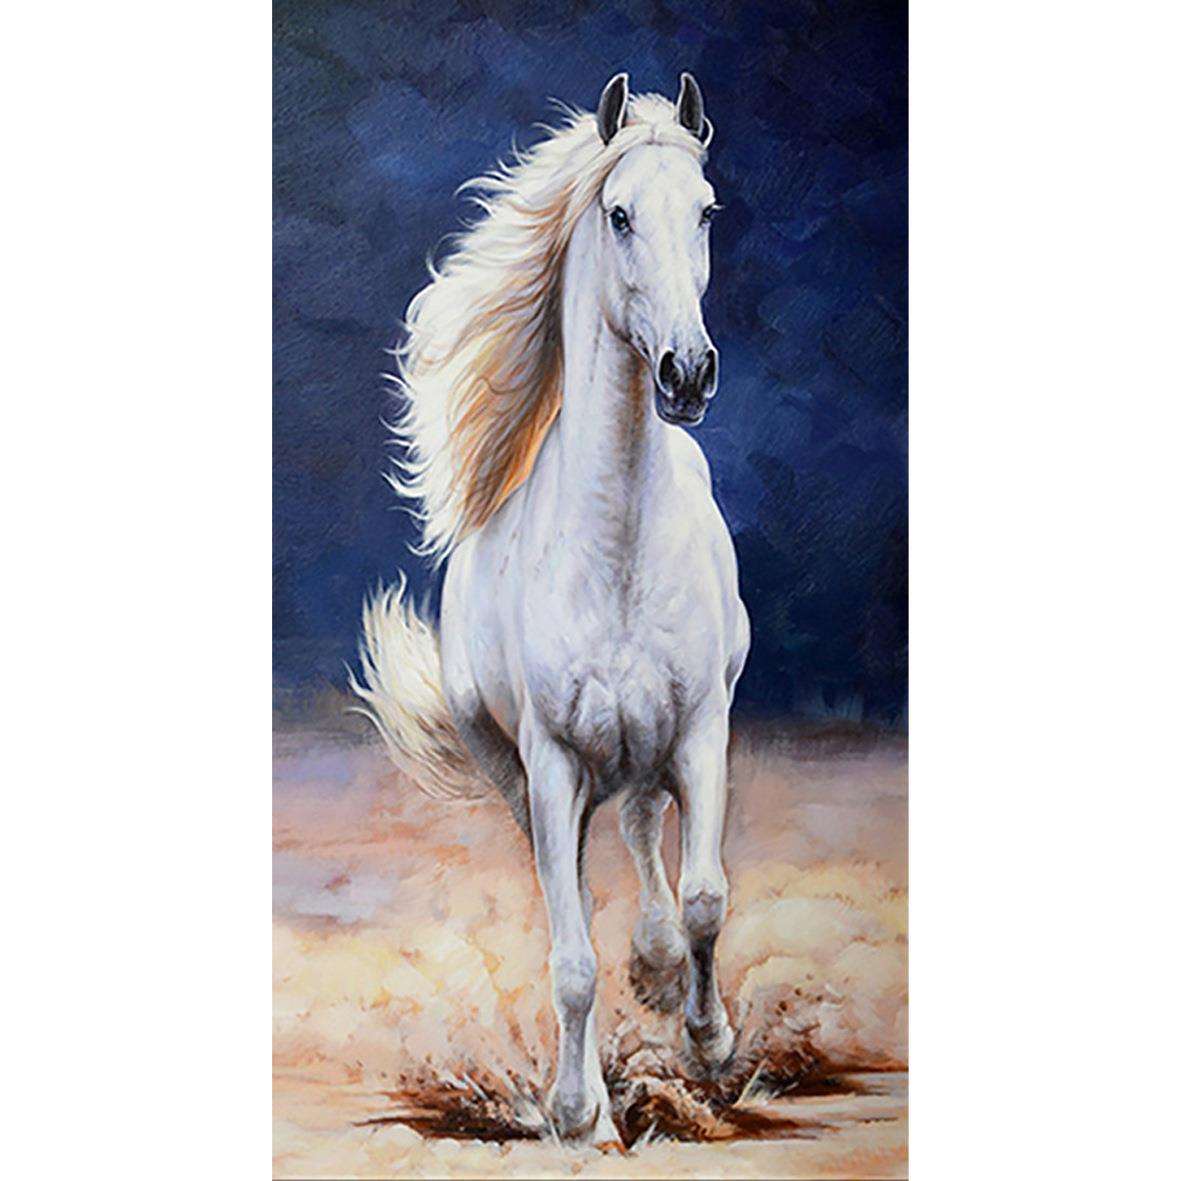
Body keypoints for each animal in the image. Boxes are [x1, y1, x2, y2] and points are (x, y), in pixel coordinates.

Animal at [352, 72, 749, 1146]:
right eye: (618, 215)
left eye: (705, 212)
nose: (687, 375)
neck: (615, 553)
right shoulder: (554, 760)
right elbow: (571, 960)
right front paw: (578, 1113)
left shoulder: (702, 727)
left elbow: (704, 898)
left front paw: (708, 1043)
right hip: (519, 776)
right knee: (574, 875)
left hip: (650, 747)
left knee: (645, 833)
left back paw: (659, 977)